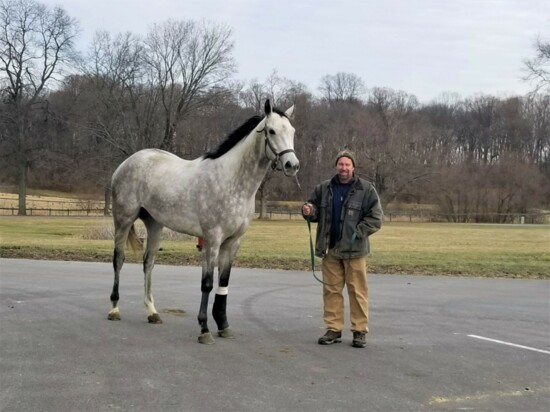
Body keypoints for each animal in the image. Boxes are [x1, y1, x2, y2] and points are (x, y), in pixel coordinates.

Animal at [108, 100, 302, 344]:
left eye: (292, 131)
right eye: (272, 131)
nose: (292, 165)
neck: (232, 181)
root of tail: (127, 162)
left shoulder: (233, 242)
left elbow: (223, 281)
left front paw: (223, 324)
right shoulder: (212, 239)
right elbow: (207, 283)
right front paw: (204, 329)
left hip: (155, 225)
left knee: (148, 263)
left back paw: (152, 312)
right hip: (123, 220)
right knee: (118, 260)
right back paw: (114, 309)